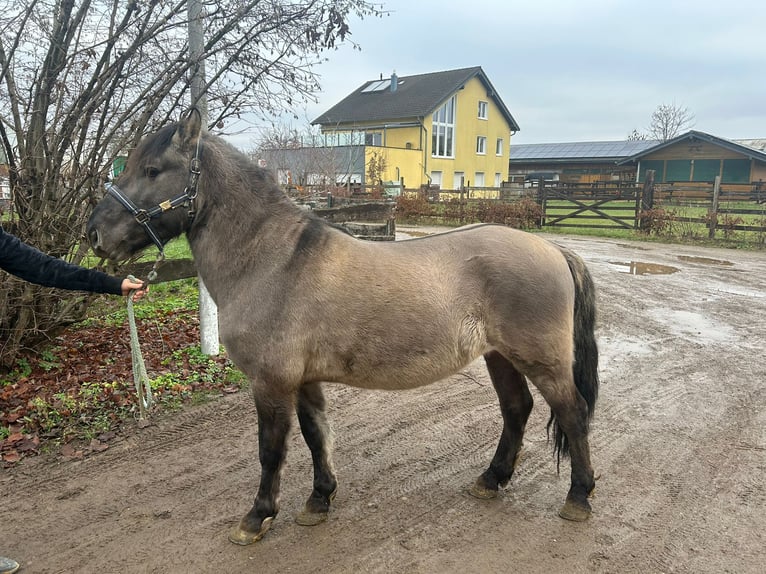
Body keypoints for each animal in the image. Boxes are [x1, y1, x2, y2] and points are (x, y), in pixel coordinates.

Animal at [87, 110, 599, 545]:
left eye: (153, 169)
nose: (95, 234)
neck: (272, 260)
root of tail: (554, 250)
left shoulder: (271, 382)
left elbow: (271, 449)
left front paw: (257, 517)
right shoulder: (304, 380)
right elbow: (317, 435)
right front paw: (319, 500)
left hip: (541, 360)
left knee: (572, 413)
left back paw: (578, 497)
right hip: (500, 357)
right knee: (516, 409)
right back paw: (491, 480)